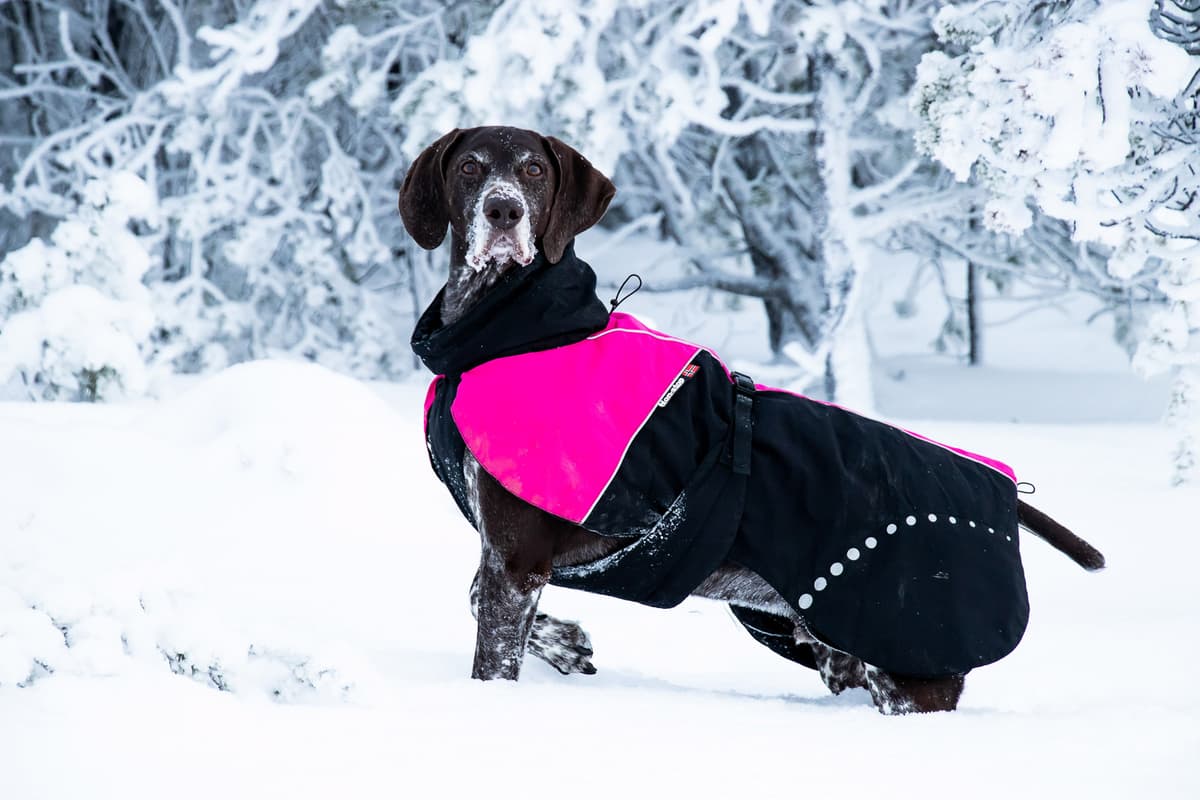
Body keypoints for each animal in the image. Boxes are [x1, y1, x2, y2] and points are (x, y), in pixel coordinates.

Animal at [396, 128, 1104, 714]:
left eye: (533, 170)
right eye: (470, 167)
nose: (503, 211)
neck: (518, 330)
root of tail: (1005, 491)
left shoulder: (517, 558)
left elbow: (491, 649)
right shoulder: (513, 559)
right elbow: (477, 598)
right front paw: (568, 643)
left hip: (906, 661)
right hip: (830, 641)